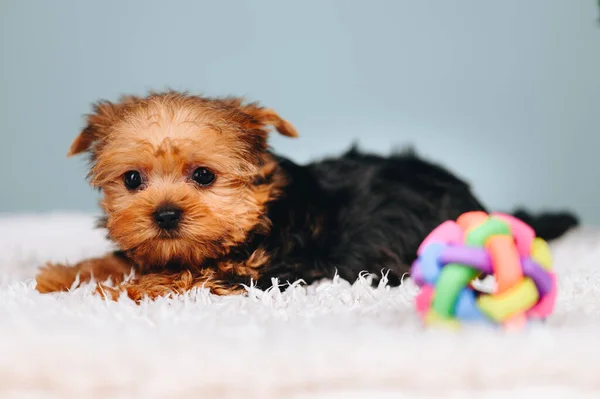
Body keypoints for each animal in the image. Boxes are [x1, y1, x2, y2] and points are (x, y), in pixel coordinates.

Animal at [34, 91, 580, 304]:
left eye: (204, 175)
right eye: (132, 180)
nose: (165, 216)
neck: (257, 210)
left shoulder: (272, 267)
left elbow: (189, 275)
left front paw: (120, 290)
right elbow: (122, 258)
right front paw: (65, 275)